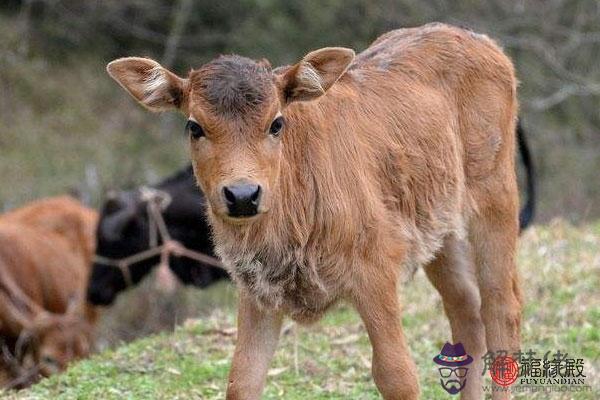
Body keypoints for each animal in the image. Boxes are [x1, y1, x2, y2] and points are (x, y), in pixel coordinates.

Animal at [106, 23, 520, 398]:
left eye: (276, 123)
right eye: (194, 127)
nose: (242, 195)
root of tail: (485, 42)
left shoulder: (376, 270)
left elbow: (397, 375)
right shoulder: (256, 290)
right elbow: (242, 378)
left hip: (496, 195)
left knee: (502, 308)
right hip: (439, 229)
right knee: (466, 311)